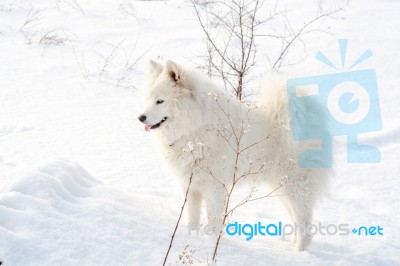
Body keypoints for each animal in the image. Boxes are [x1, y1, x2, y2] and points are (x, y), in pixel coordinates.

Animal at [139, 59, 330, 251]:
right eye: (148, 100)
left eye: (160, 101)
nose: (141, 117)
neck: (195, 128)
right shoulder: (190, 186)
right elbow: (193, 218)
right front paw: (192, 237)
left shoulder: (214, 188)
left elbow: (213, 220)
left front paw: (212, 243)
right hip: (280, 188)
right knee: (295, 217)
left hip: (294, 185)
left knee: (304, 220)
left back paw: (299, 251)